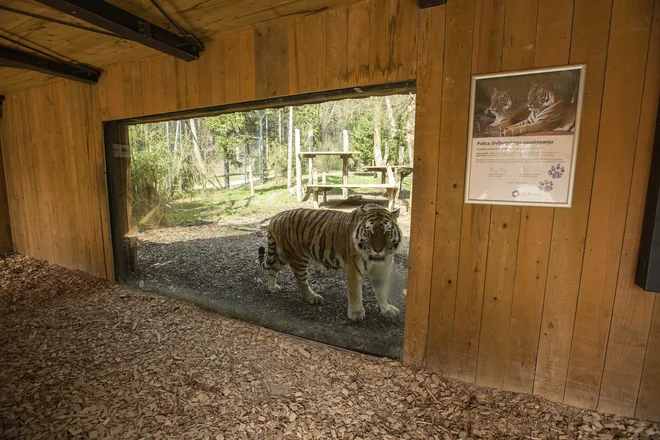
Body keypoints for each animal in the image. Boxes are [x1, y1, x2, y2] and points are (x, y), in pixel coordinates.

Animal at [258, 204, 402, 324]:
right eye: (369, 232)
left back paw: (272, 287)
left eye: (387, 232)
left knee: (272, 268)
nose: (378, 250)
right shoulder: (353, 269)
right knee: (301, 281)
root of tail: (276, 216)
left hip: (282, 255)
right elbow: (355, 293)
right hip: (298, 257)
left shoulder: (382, 270)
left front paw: (386, 309)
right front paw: (356, 313)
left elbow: (382, 292)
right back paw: (313, 297)